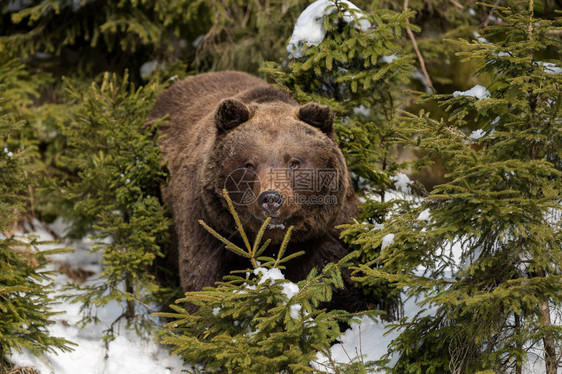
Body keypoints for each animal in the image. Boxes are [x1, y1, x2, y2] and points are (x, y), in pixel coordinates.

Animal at [147, 70, 360, 310]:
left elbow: (340, 281)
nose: (271, 199)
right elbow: (204, 284)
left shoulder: (326, 231)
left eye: (294, 162)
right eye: (249, 164)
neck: (273, 241)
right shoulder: (209, 226)